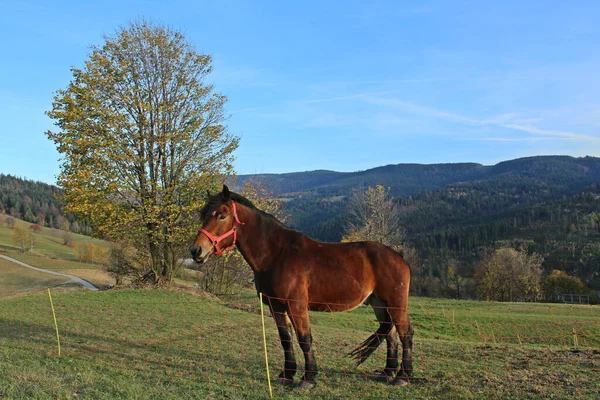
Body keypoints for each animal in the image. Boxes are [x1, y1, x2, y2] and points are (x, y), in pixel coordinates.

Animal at [191, 186, 412, 390]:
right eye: (203, 214)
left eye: (222, 215)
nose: (196, 250)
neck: (277, 254)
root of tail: (399, 257)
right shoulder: (276, 306)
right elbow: (286, 339)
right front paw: (287, 375)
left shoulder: (296, 306)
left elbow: (304, 339)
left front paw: (308, 378)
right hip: (380, 305)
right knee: (391, 335)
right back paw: (387, 372)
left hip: (396, 304)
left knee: (405, 333)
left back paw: (403, 376)